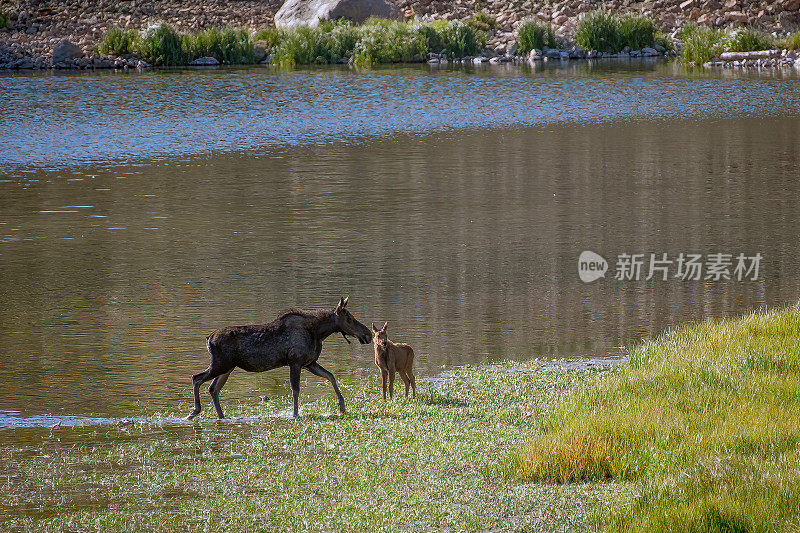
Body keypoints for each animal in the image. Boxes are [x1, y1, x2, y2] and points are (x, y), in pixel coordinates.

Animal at [188, 298, 372, 418]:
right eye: (349, 318)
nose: (368, 334)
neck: (319, 333)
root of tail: (209, 338)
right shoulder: (295, 362)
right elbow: (295, 389)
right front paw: (295, 414)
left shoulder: (309, 363)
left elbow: (331, 376)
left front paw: (342, 405)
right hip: (220, 364)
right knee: (197, 378)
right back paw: (195, 411)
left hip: (227, 368)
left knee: (213, 388)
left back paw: (221, 416)